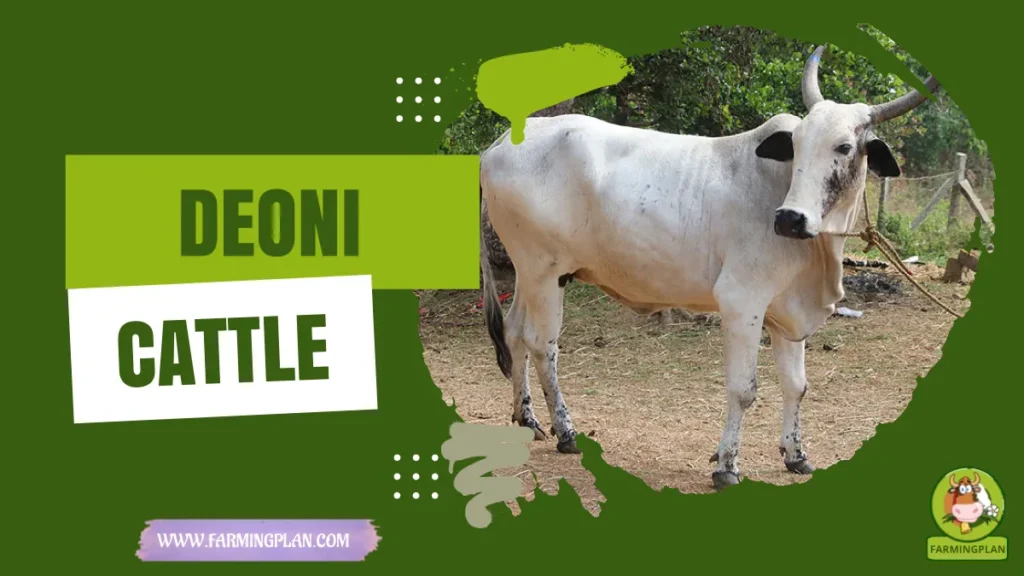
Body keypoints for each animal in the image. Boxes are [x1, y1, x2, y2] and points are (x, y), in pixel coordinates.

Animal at [477, 45, 940, 490]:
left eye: (844, 147)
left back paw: (528, 418)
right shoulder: (741, 302)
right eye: (797, 145)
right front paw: (727, 466)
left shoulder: (787, 311)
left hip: (531, 274)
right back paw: (566, 431)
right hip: (545, 272)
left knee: (515, 333)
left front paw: (796, 455)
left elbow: (796, 386)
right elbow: (744, 390)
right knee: (543, 345)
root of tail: (497, 144)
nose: (789, 219)